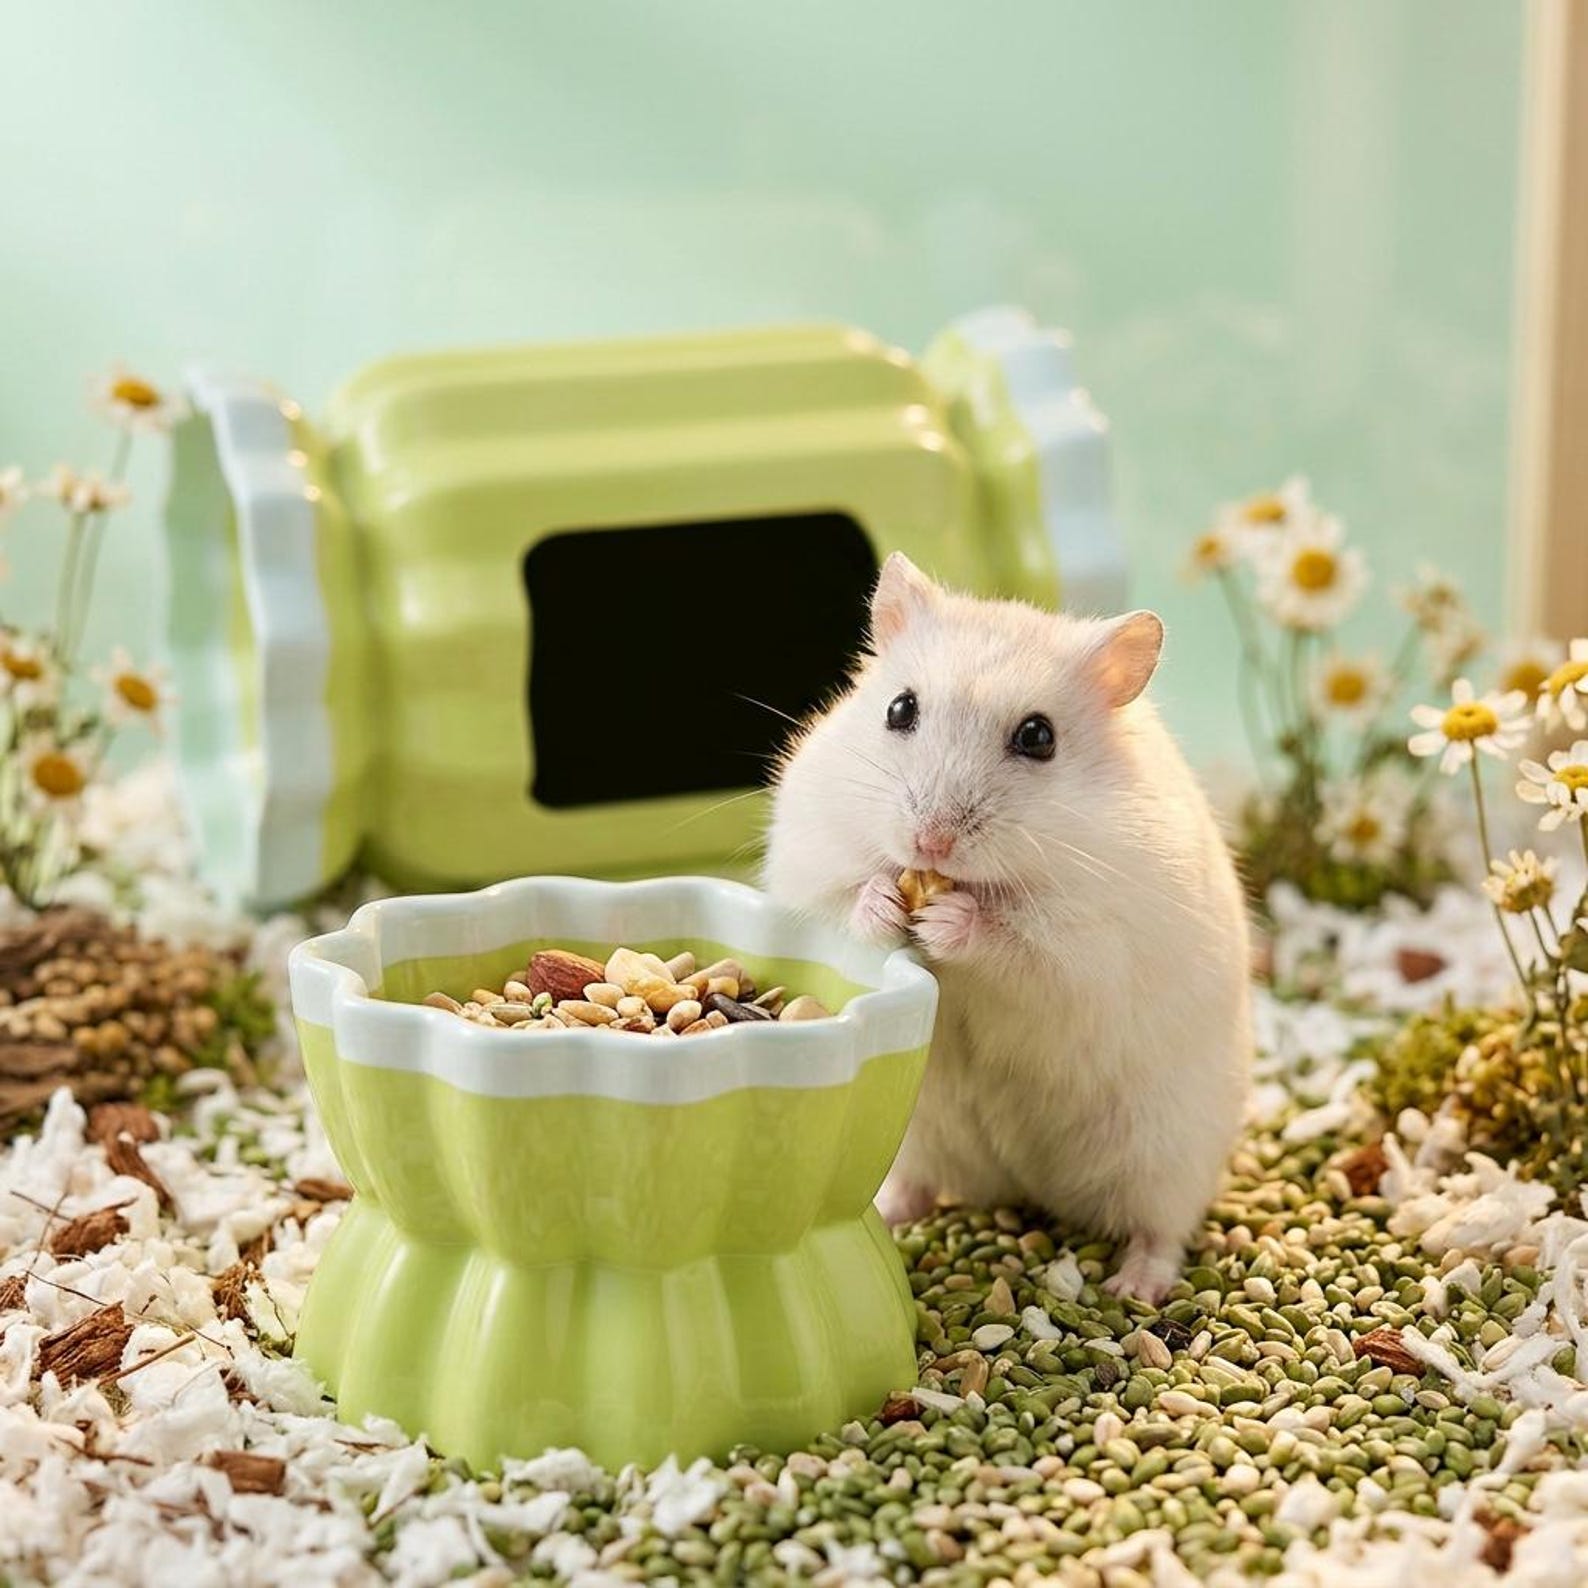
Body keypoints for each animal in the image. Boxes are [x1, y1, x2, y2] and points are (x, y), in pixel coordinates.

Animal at [763, 553, 1250, 1303]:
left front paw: (947, 920)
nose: (931, 842)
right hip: (917, 1133)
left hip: (1170, 1149)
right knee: (919, 1185)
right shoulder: (809, 853)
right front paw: (886, 901)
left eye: (1038, 737)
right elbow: (839, 896)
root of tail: (1025, 1183)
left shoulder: (1094, 945)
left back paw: (1132, 1288)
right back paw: (893, 1214)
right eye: (899, 709)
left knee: (1162, 1229)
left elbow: (1025, 946)